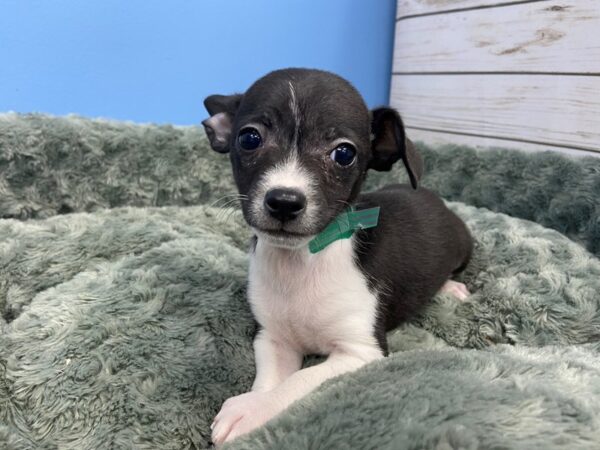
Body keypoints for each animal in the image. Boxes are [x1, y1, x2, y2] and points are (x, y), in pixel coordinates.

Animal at [202, 68, 474, 444]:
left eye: (344, 153)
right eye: (249, 138)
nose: (284, 201)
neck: (301, 262)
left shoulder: (361, 352)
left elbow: (299, 379)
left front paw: (250, 410)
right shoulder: (273, 339)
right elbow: (271, 381)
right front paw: (255, 405)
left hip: (464, 245)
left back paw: (451, 287)